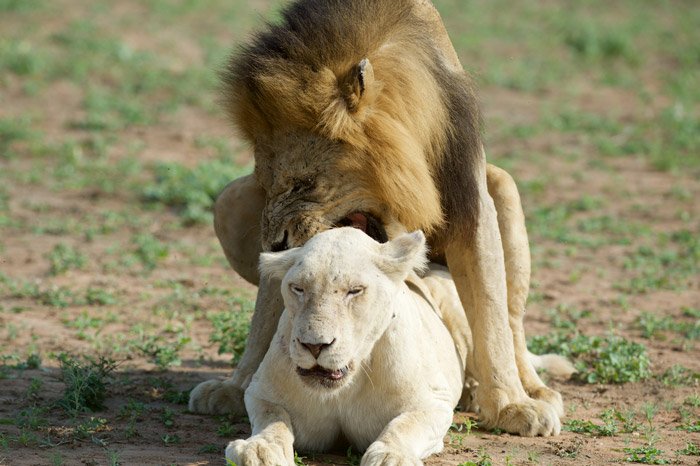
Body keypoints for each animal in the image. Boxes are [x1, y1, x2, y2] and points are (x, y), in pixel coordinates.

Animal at [189, 0, 567, 436]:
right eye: (266, 184)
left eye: (305, 183)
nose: (276, 244)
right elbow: (266, 314)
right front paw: (238, 386)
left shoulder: (471, 200)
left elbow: (492, 315)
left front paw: (511, 404)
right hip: (227, 202)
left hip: (503, 188)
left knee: (513, 322)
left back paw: (528, 390)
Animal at [226, 228, 572, 465]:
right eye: (298, 288)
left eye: (355, 291)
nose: (314, 346)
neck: (345, 387)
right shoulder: (261, 392)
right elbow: (273, 420)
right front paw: (257, 449)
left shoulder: (433, 402)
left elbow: (405, 425)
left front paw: (390, 455)